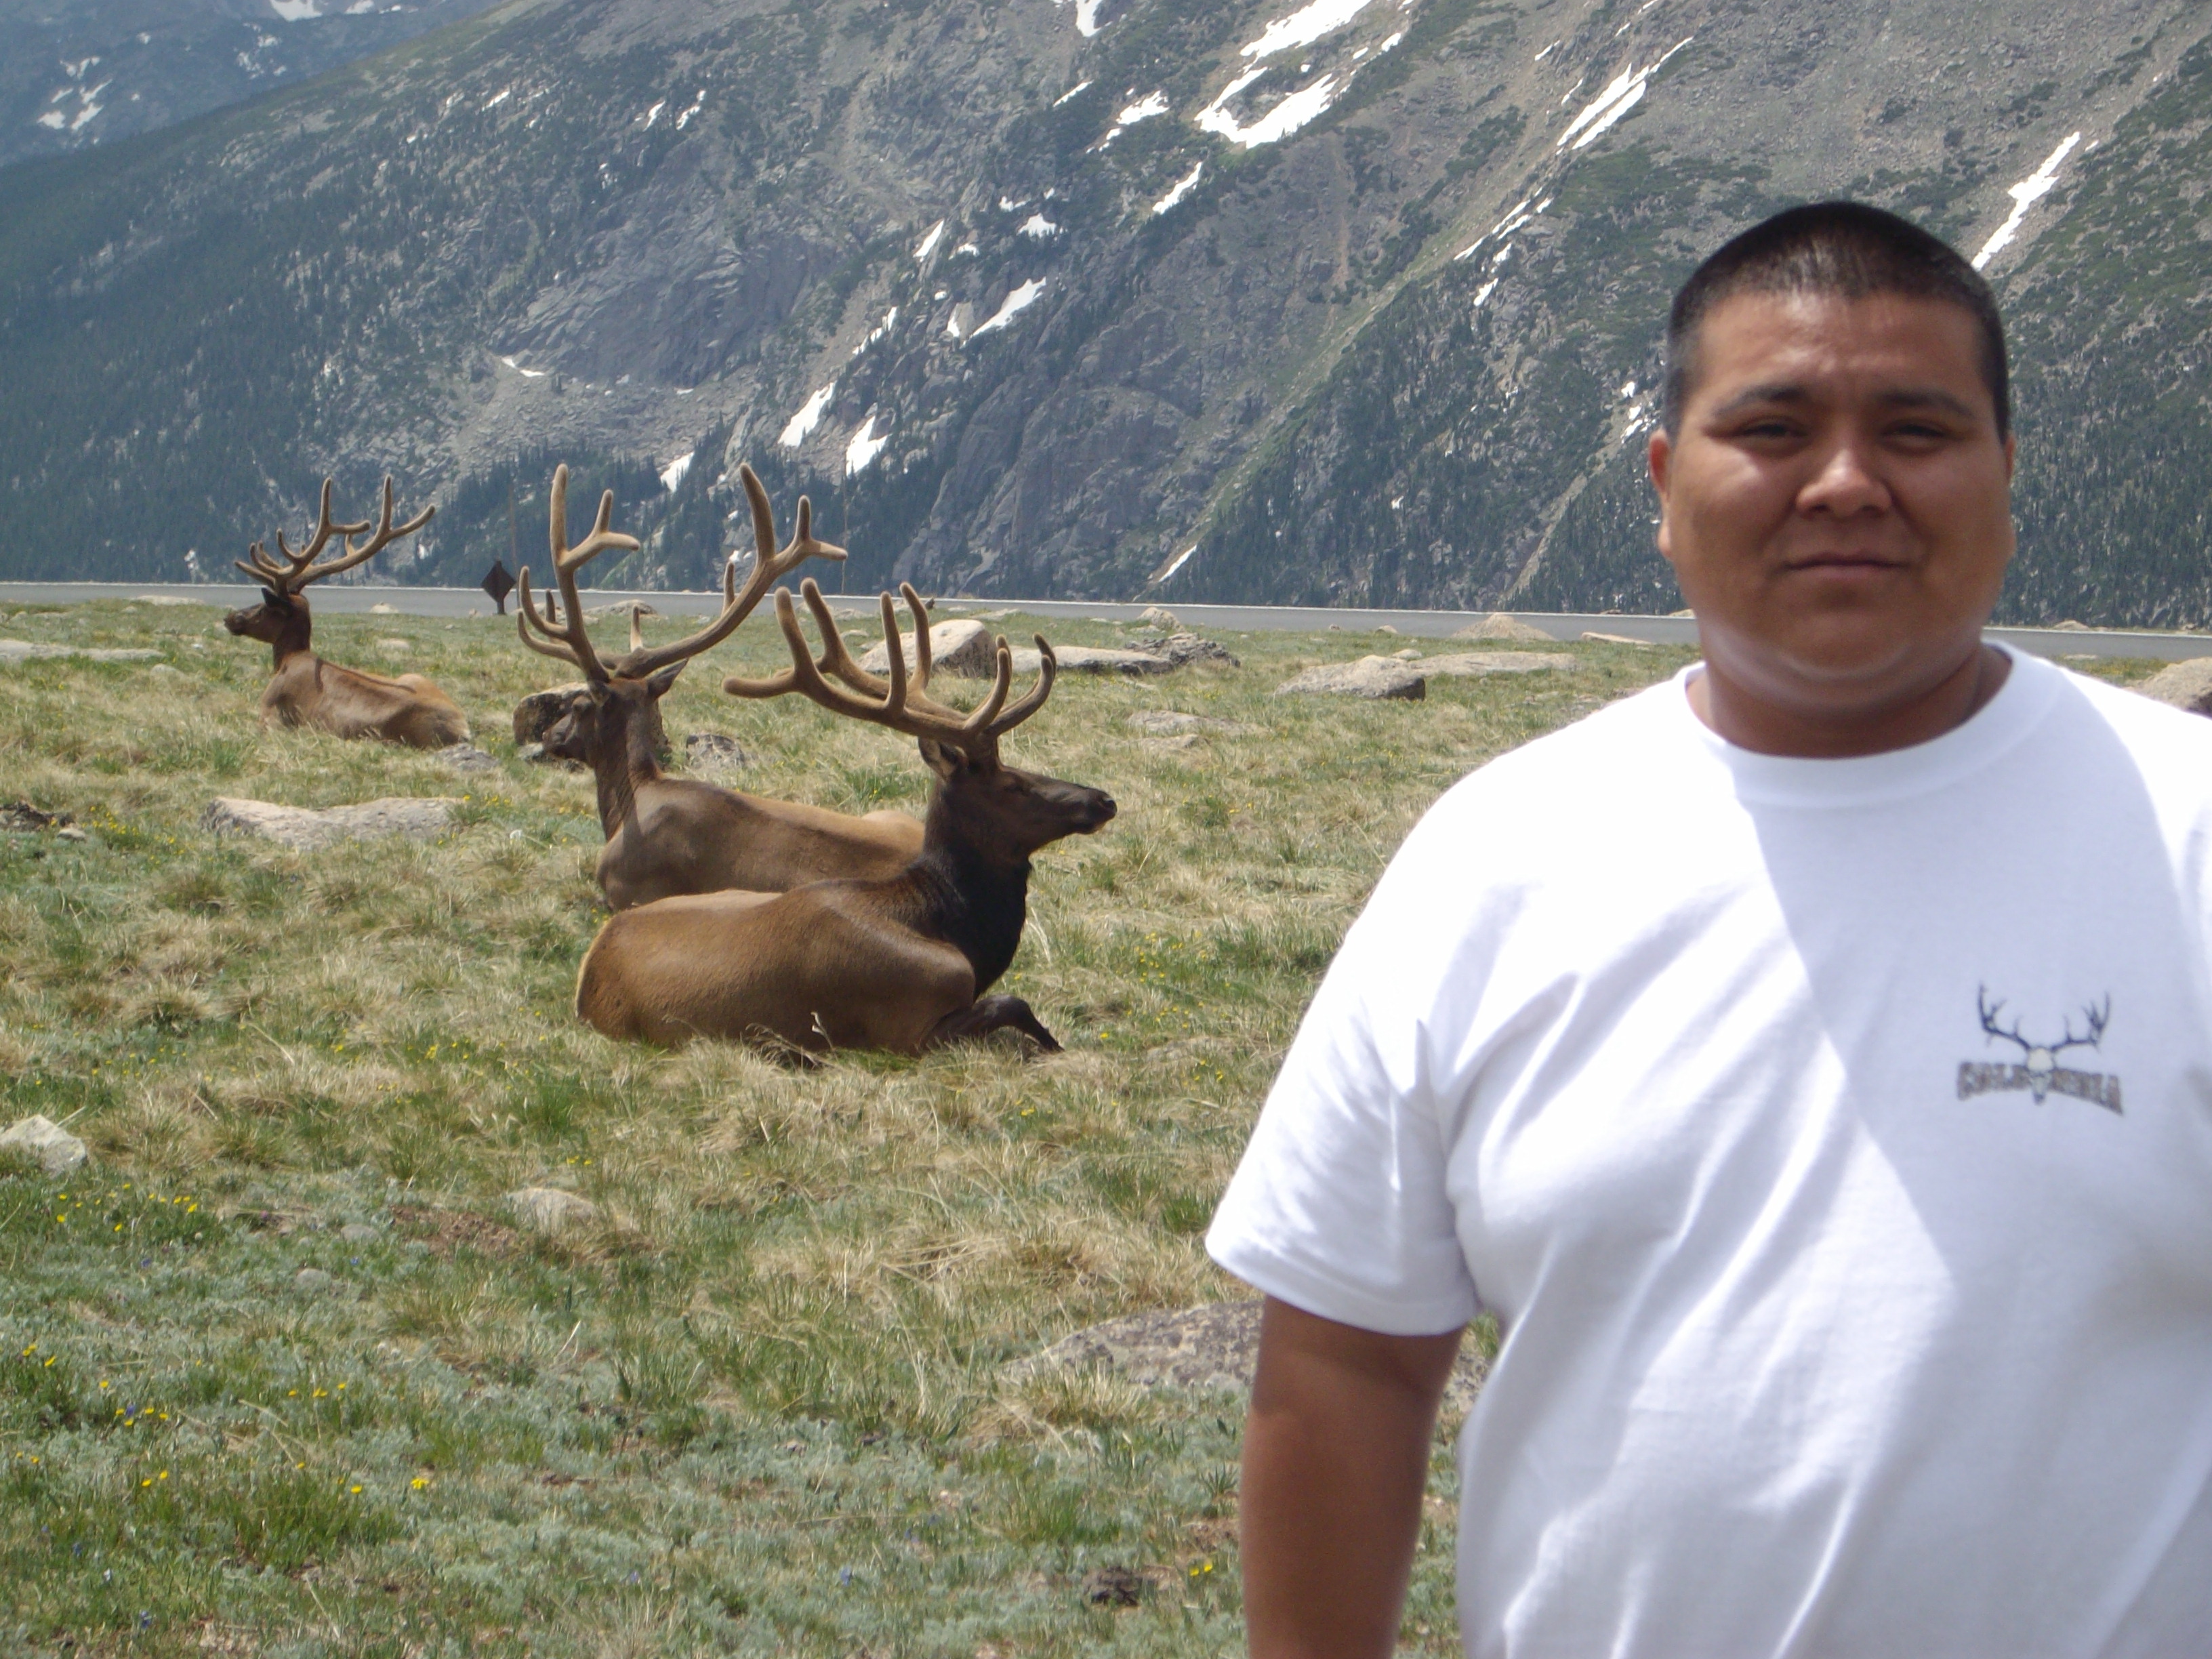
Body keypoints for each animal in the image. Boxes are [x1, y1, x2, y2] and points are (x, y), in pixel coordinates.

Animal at [224, 478, 469, 748]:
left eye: (265, 607)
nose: (230, 617)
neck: (288, 660)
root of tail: (463, 730)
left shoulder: (269, 709)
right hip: (414, 677)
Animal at [572, 579, 1116, 1053]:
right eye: (1012, 785)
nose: (1102, 799)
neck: (954, 932)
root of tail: (587, 974)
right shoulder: (907, 1024)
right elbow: (1013, 1002)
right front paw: (1055, 1047)